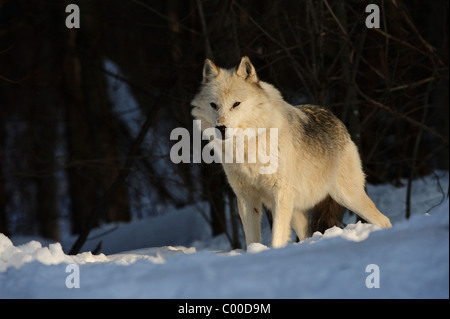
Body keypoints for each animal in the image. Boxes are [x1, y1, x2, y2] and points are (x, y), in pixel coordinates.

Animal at [190, 56, 390, 249]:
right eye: (214, 105)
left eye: (236, 104)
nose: (221, 128)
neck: (248, 145)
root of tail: (335, 118)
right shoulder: (246, 198)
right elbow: (251, 240)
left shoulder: (280, 194)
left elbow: (277, 237)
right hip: (298, 213)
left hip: (347, 196)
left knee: (384, 220)